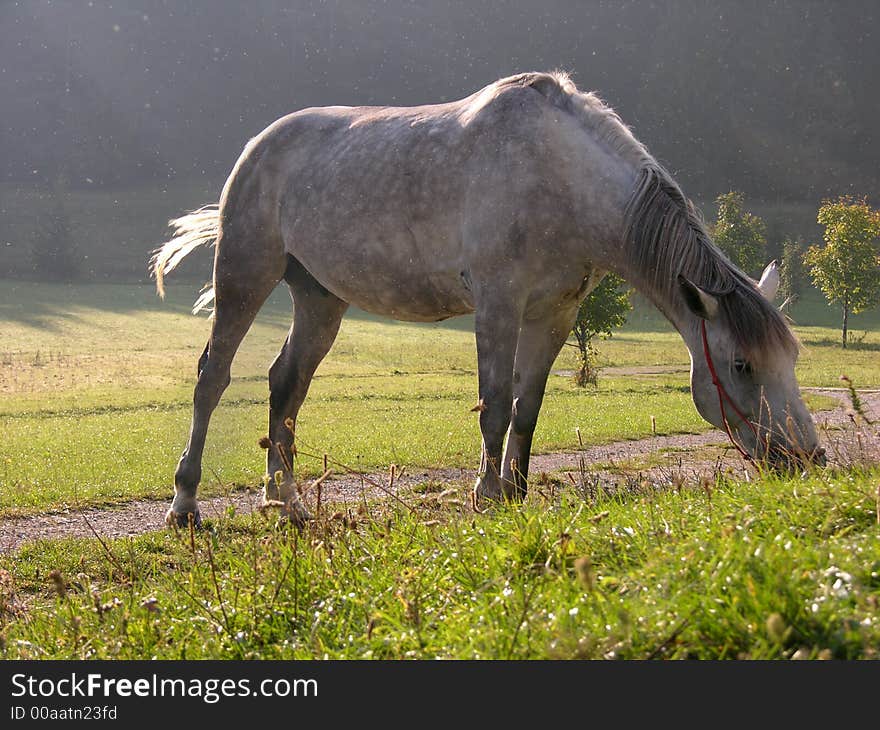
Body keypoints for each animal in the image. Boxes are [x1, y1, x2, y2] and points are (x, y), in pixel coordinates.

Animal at [153, 71, 824, 528]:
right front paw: (486, 495)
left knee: (285, 384)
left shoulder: (554, 314)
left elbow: (528, 407)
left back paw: (285, 499)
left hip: (320, 299)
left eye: (791, 360)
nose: (808, 459)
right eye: (741, 365)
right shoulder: (499, 304)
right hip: (245, 274)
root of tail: (259, 145)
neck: (560, 173)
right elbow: (496, 405)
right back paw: (186, 504)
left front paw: (518, 492)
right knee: (212, 378)